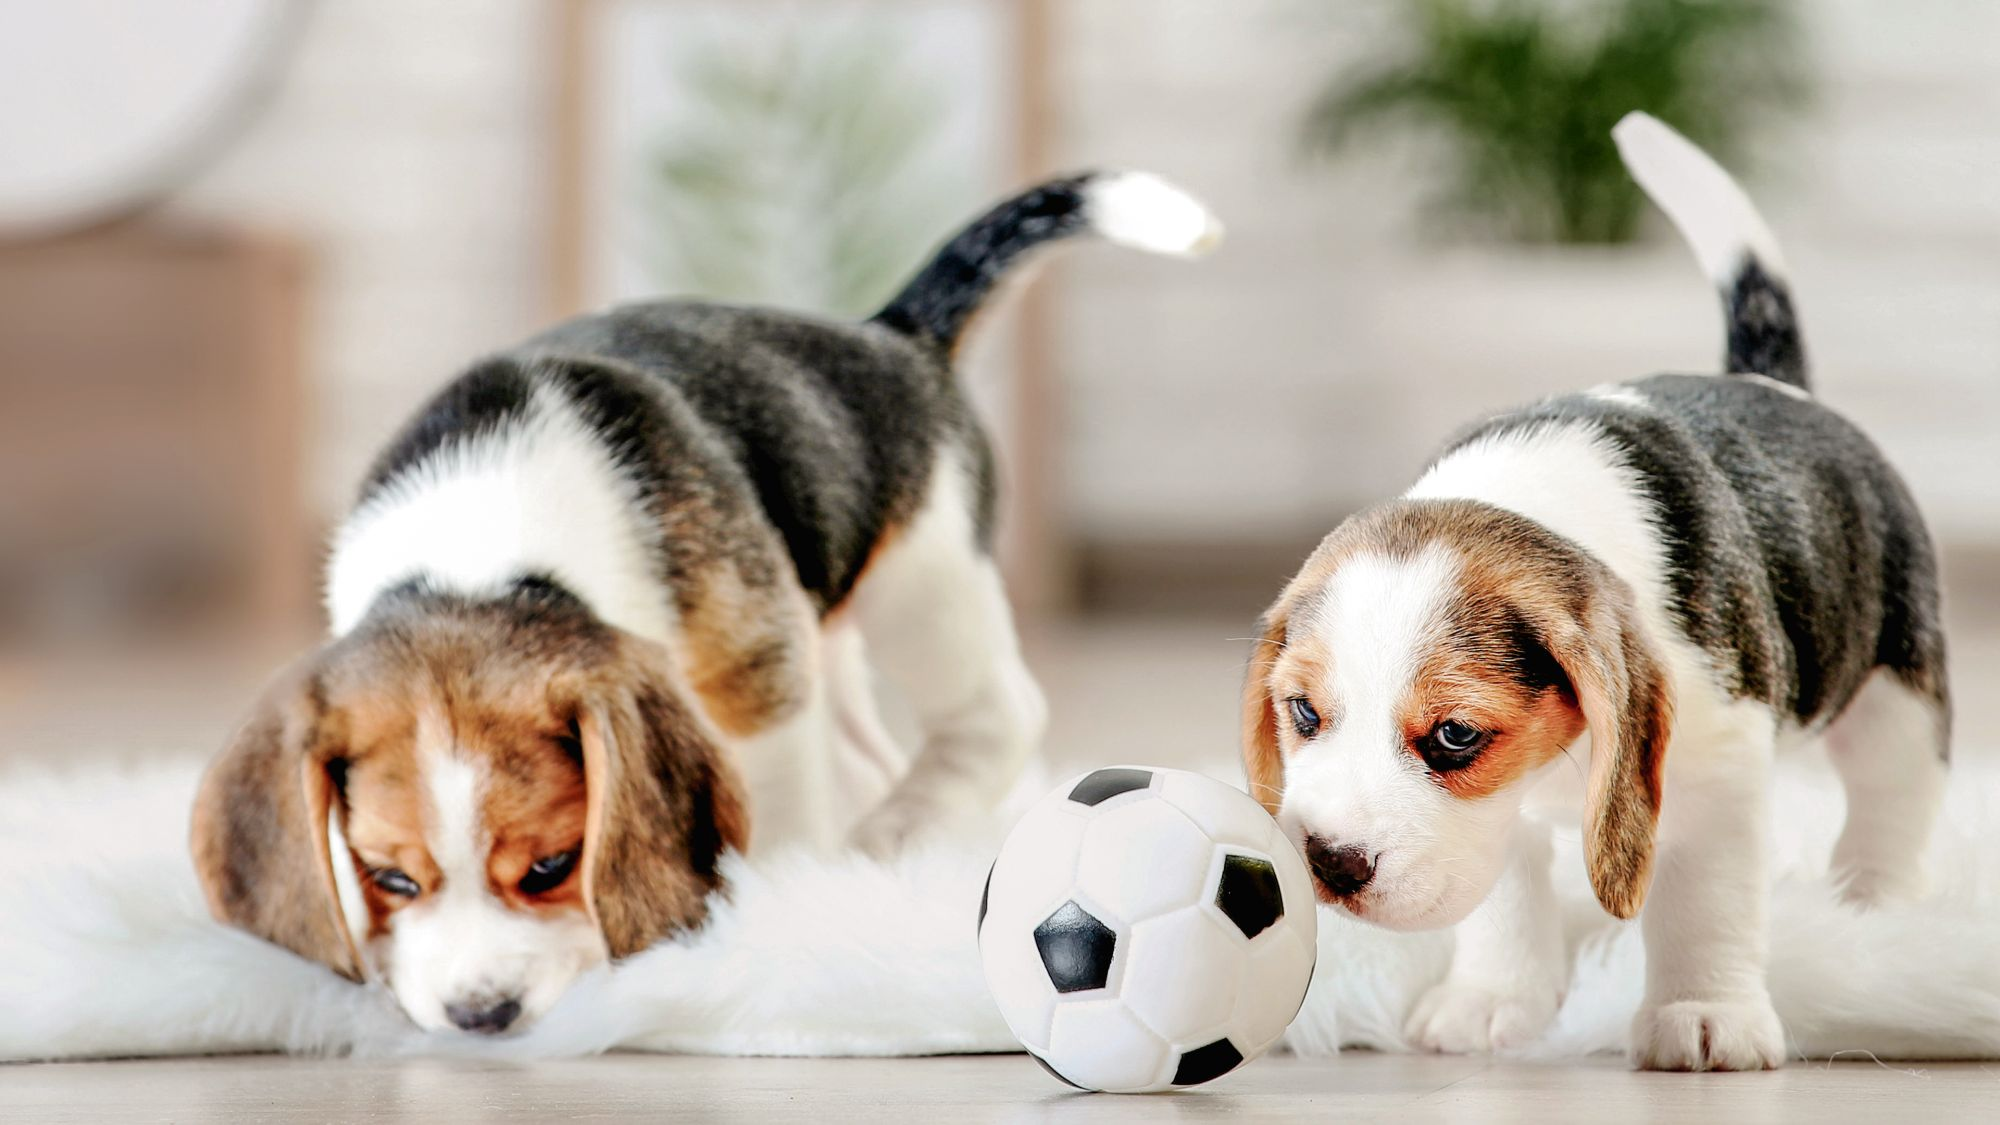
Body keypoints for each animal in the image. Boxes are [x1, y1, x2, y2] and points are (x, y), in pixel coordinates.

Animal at [195, 168, 1216, 1032]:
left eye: (552, 866)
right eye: (389, 877)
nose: (480, 1016)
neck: (480, 563)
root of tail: (890, 338)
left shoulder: (760, 675)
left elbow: (777, 800)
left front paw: (771, 907)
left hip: (923, 590)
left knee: (1000, 712)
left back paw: (897, 822)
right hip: (834, 635)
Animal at [1240, 116, 1944, 1064]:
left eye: (1456, 735)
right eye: (1305, 713)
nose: (1328, 862)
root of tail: (1772, 384)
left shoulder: (1716, 773)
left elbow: (1703, 901)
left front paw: (1704, 1012)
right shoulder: (1503, 816)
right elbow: (1505, 897)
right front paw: (1492, 999)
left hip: (1895, 690)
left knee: (1890, 798)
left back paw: (1871, 908)